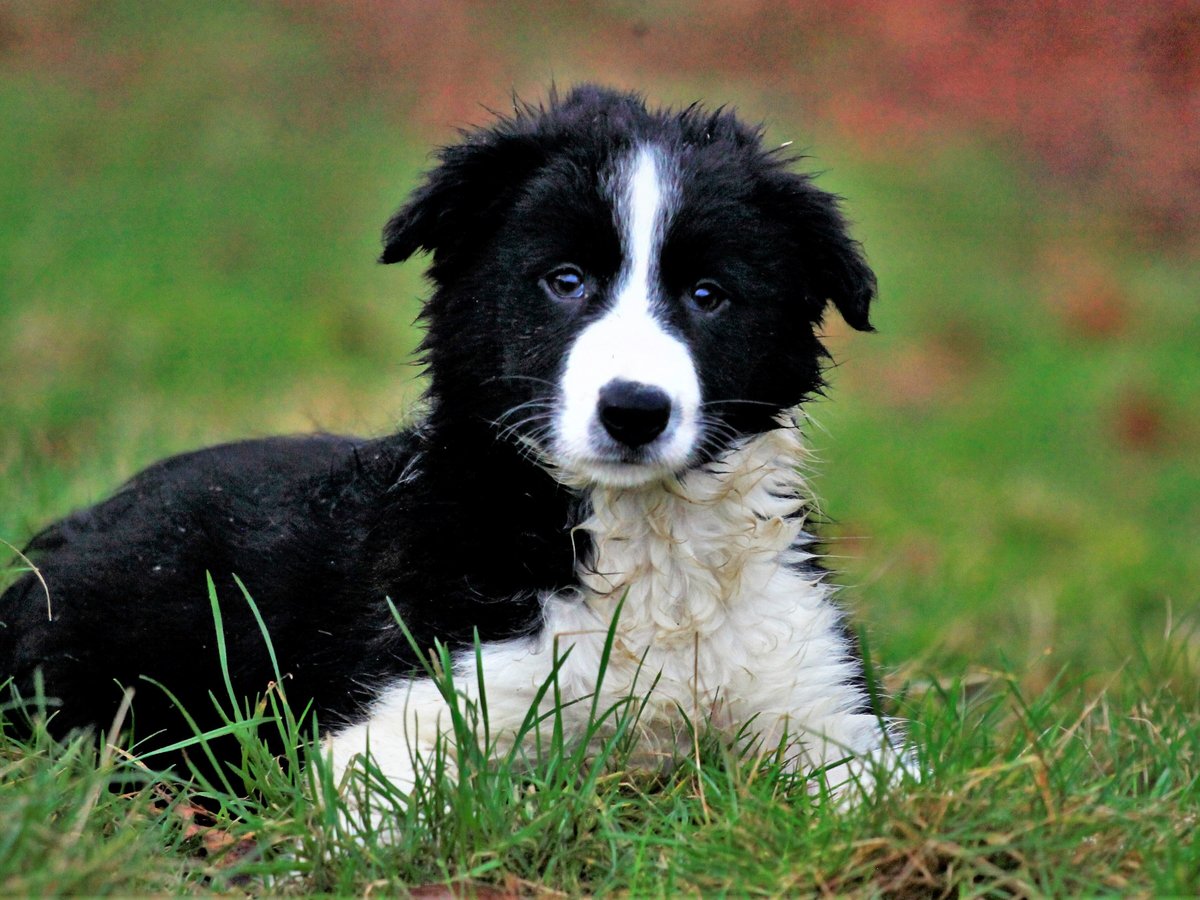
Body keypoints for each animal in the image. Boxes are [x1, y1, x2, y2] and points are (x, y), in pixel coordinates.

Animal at [0, 86, 902, 816]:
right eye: (565, 281)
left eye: (709, 295)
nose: (634, 411)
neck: (639, 546)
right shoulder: (412, 712)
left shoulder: (831, 711)